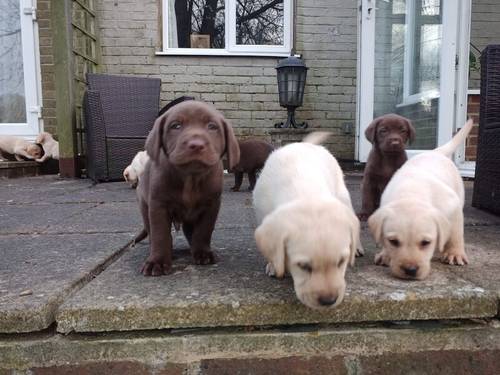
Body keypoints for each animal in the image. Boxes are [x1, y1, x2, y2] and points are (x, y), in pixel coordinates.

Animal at [252, 134, 362, 310]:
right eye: (303, 266)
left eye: (341, 262)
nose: (329, 301)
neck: (306, 193)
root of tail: (306, 144)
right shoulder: (262, 213)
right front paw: (274, 265)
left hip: (343, 196)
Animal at [370, 119, 474, 280]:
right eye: (393, 242)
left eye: (426, 243)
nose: (410, 270)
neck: (411, 193)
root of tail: (436, 151)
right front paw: (385, 254)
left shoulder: (453, 206)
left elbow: (456, 233)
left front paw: (455, 253)